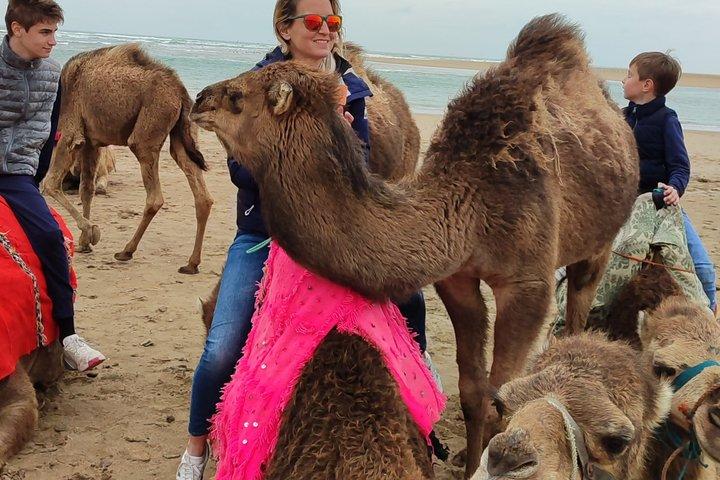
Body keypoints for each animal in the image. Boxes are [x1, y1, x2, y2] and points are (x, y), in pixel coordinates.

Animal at [42, 44, 213, 274]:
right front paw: (84, 243)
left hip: (147, 131)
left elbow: (51, 184)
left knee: (154, 196)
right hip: (181, 132)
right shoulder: (91, 143)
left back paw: (126, 251)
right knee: (201, 194)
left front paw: (92, 231)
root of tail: (181, 92)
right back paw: (191, 263)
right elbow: (86, 189)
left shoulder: (71, 134)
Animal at [191, 14, 639, 476]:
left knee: (581, 299)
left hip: (601, 241)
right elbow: (474, 391)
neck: (470, 200)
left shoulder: (527, 282)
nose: (200, 98)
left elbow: (500, 393)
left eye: (238, 97)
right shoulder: (457, 277)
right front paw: (468, 458)